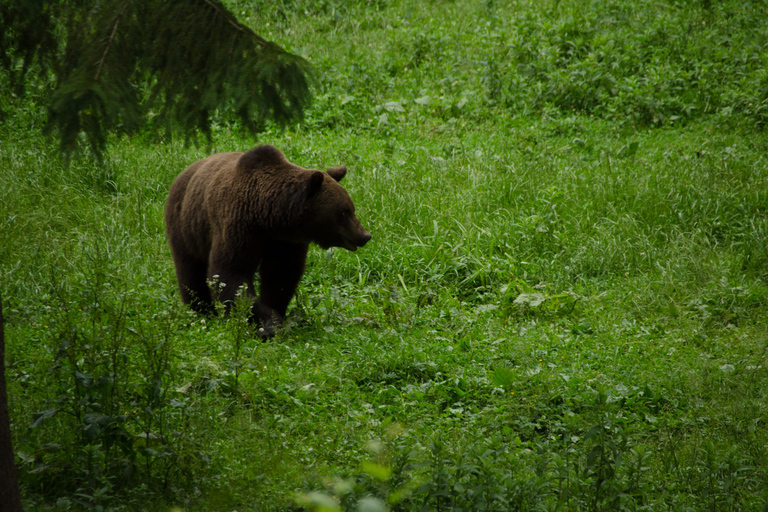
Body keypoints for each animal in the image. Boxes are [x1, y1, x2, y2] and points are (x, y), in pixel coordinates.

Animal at [164, 144, 371, 337]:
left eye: (351, 208)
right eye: (344, 212)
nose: (365, 235)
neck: (268, 217)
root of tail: (184, 173)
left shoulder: (284, 241)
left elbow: (281, 274)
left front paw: (274, 312)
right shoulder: (238, 225)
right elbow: (230, 273)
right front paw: (268, 324)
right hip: (187, 227)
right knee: (190, 271)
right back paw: (201, 309)